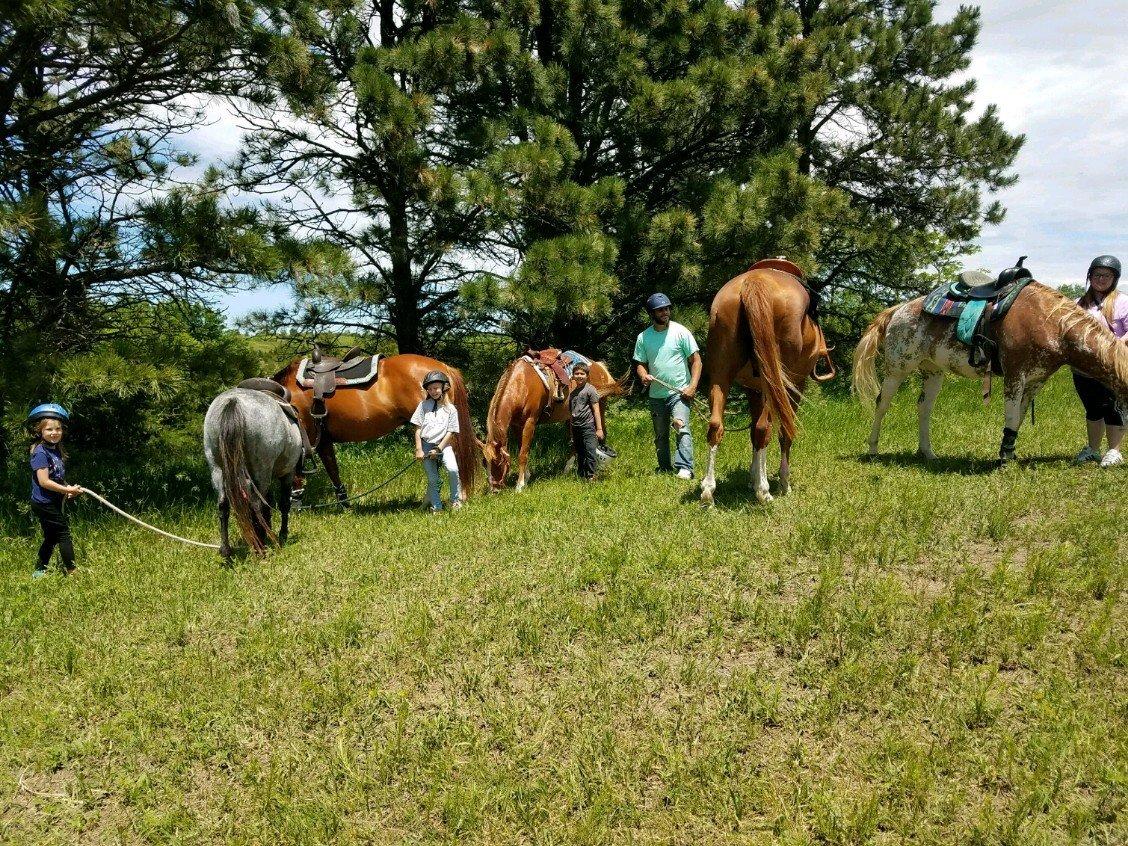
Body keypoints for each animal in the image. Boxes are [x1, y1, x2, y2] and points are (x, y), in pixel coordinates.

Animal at [201, 390, 300, 564]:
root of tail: (233, 402)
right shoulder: (287, 473)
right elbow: (283, 504)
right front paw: (282, 534)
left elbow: (268, 504)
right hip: (261, 471)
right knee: (256, 504)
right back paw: (260, 547)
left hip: (217, 469)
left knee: (223, 505)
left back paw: (227, 551)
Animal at [699, 258, 834, 507]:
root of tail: (755, 281)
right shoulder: (795, 388)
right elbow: (784, 432)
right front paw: (783, 483)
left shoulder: (752, 389)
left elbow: (753, 431)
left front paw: (753, 478)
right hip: (778, 385)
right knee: (765, 429)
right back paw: (764, 492)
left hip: (722, 377)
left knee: (716, 426)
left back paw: (708, 491)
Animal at [852, 283, 1128, 464]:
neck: (1050, 323)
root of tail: (897, 310)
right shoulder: (1014, 376)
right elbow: (1010, 416)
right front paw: (1004, 459)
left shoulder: (1034, 382)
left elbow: (1018, 418)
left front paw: (1010, 453)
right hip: (897, 369)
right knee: (882, 404)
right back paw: (873, 450)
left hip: (933, 374)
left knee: (924, 409)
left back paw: (928, 453)